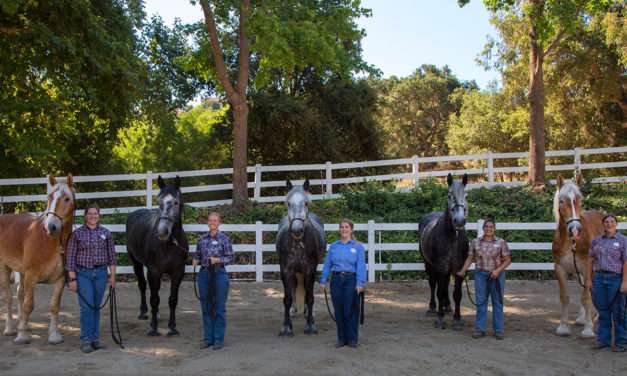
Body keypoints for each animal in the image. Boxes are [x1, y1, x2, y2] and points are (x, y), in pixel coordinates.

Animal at [0, 174, 76, 344]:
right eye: (49, 197)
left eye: (67, 199)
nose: (50, 227)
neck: (50, 242)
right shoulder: (31, 276)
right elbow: (29, 305)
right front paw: (22, 336)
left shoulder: (60, 279)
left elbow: (54, 305)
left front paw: (54, 335)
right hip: (4, 267)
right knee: (8, 297)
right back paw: (10, 328)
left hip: (21, 272)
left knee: (19, 295)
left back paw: (22, 324)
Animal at [125, 176, 189, 338]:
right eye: (158, 201)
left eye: (176, 202)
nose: (162, 231)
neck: (169, 244)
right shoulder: (154, 271)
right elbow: (154, 299)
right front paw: (153, 328)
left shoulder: (178, 272)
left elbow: (172, 299)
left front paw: (172, 328)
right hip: (136, 263)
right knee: (142, 285)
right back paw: (143, 312)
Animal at [280, 178, 328, 336]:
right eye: (288, 203)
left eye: (306, 203)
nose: (297, 230)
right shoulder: (286, 271)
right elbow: (287, 298)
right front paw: (286, 327)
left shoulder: (310, 271)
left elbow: (310, 297)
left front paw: (311, 325)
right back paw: (294, 311)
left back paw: (307, 313)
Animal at [420, 173, 468, 328]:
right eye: (449, 195)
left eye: (466, 195)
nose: (459, 221)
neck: (452, 238)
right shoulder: (441, 268)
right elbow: (439, 292)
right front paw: (440, 318)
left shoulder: (459, 270)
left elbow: (457, 294)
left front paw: (457, 319)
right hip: (429, 265)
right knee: (433, 284)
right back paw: (432, 308)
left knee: (446, 285)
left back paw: (447, 306)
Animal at [552, 173, 604, 338]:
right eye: (562, 201)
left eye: (580, 199)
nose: (575, 230)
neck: (572, 242)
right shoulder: (560, 268)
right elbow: (565, 297)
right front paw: (563, 327)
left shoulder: (588, 268)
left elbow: (586, 297)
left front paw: (588, 329)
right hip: (576, 272)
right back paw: (582, 318)